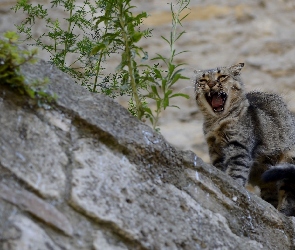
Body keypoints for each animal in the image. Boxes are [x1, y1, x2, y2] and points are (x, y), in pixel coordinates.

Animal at [195, 63, 295, 217]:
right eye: (203, 80)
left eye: (222, 77)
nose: (211, 84)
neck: (217, 123)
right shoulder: (215, 150)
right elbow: (220, 169)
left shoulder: (239, 147)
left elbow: (236, 171)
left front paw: (233, 186)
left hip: (287, 163)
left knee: (288, 194)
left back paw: (283, 213)